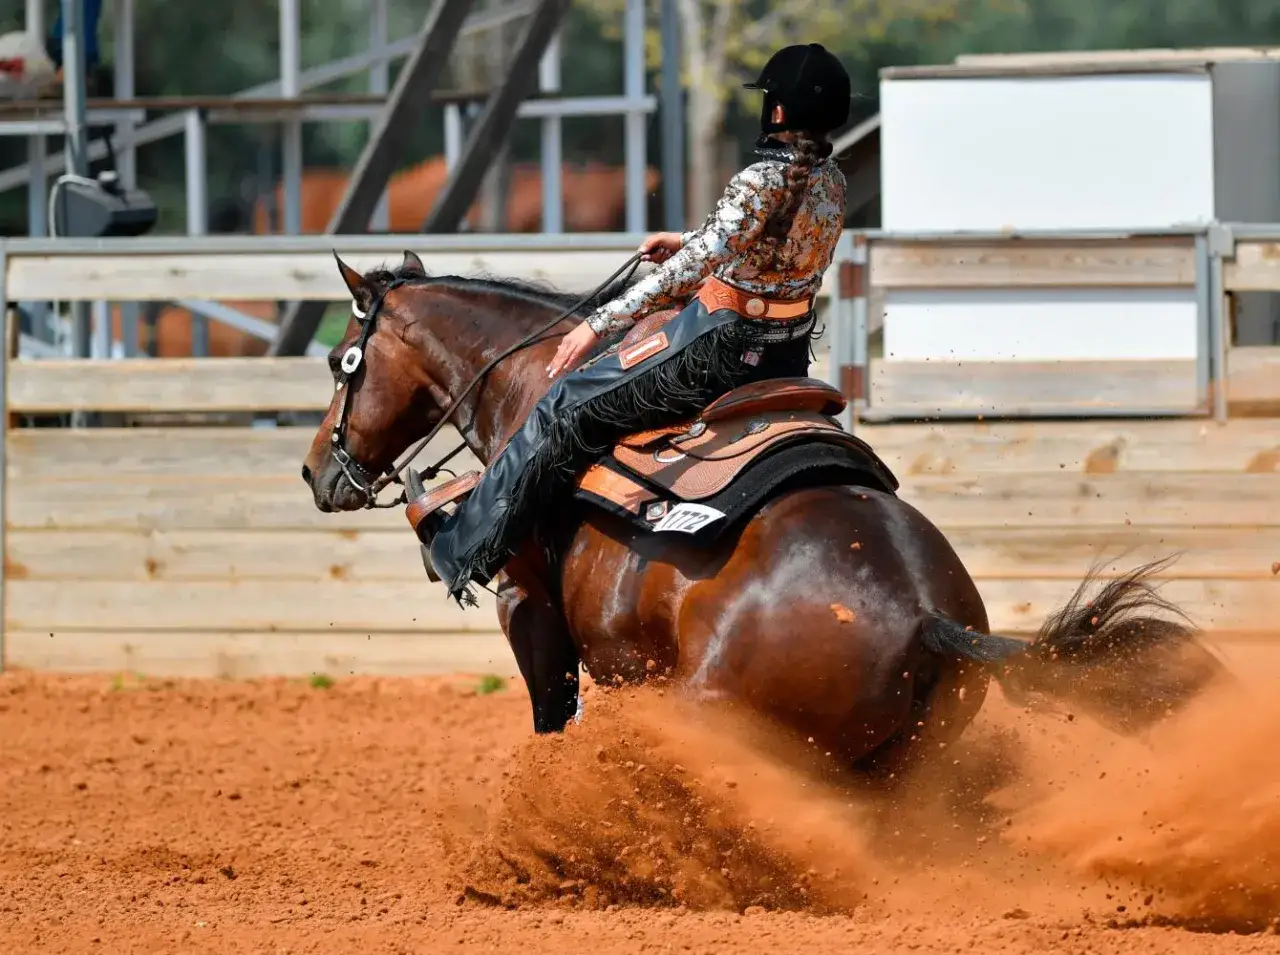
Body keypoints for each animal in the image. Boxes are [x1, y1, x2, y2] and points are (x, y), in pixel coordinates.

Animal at [300, 250, 1227, 776]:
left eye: (343, 360)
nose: (316, 471)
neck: (532, 383)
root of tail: (924, 615)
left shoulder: (526, 604)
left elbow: (550, 715)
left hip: (712, 711)